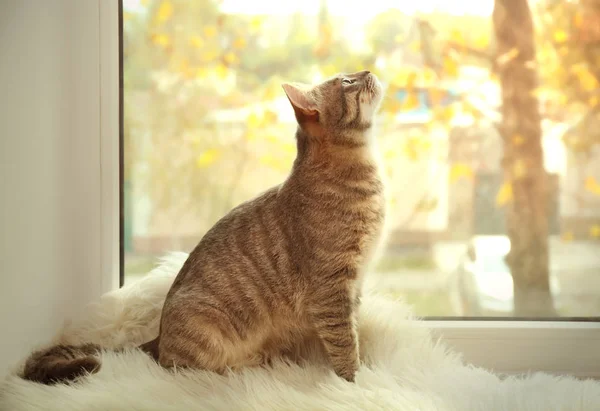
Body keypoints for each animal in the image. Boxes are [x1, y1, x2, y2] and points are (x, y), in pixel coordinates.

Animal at [21, 70, 386, 386]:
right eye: (346, 81)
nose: (368, 70)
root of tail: (158, 336)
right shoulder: (331, 291)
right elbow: (343, 342)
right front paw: (353, 381)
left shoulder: (353, 286)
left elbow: (349, 333)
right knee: (182, 365)